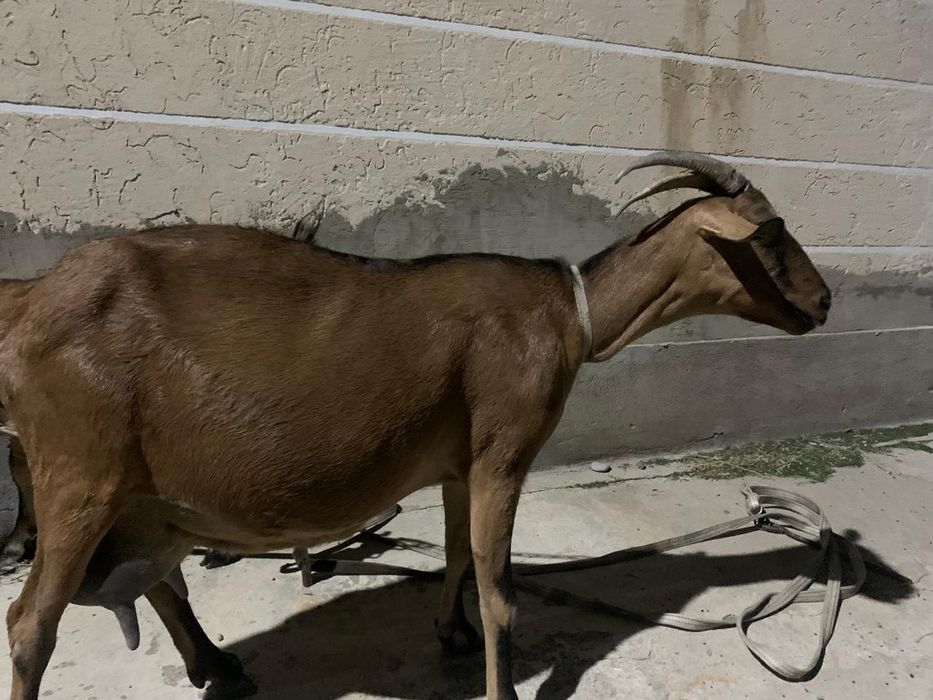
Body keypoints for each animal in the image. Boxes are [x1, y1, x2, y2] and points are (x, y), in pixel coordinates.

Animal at [0, 152, 831, 700]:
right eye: (768, 236)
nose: (824, 302)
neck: (567, 311)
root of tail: (33, 298)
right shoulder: (504, 451)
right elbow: (500, 587)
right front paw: (500, 688)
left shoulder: (461, 464)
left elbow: (459, 555)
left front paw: (451, 634)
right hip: (77, 473)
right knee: (30, 621)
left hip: (146, 496)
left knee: (158, 579)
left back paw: (217, 666)